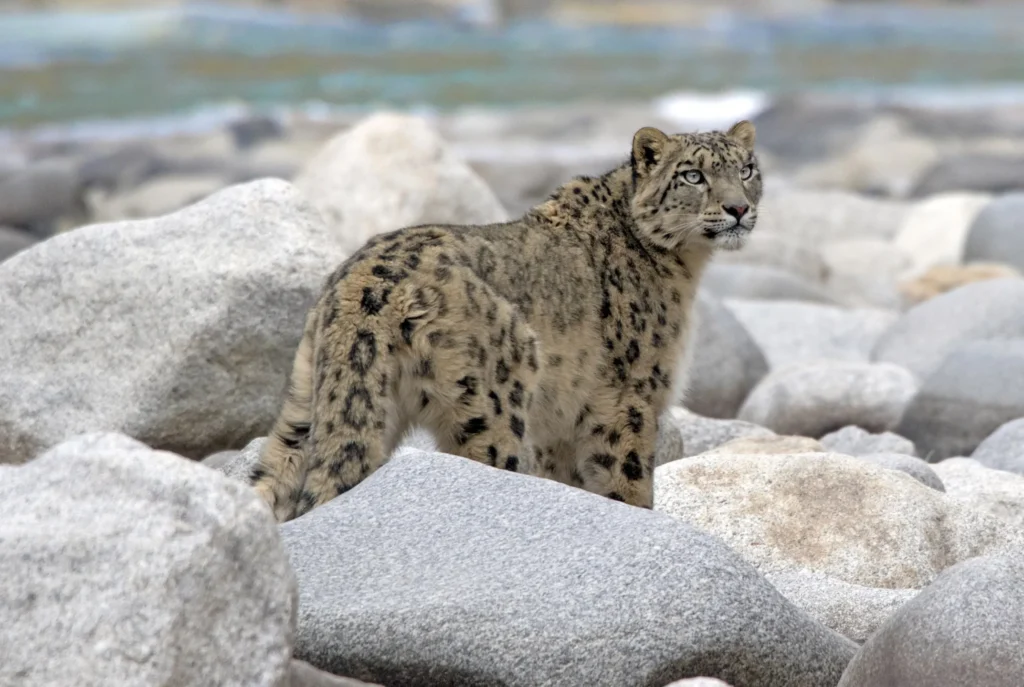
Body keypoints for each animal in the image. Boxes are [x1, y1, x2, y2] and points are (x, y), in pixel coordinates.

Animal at [250, 120, 762, 522]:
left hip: (305, 402)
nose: (739, 208)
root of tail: (361, 284)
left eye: (746, 169)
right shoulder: (631, 397)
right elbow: (627, 480)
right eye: (693, 175)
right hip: (492, 406)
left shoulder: (561, 424)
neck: (685, 269)